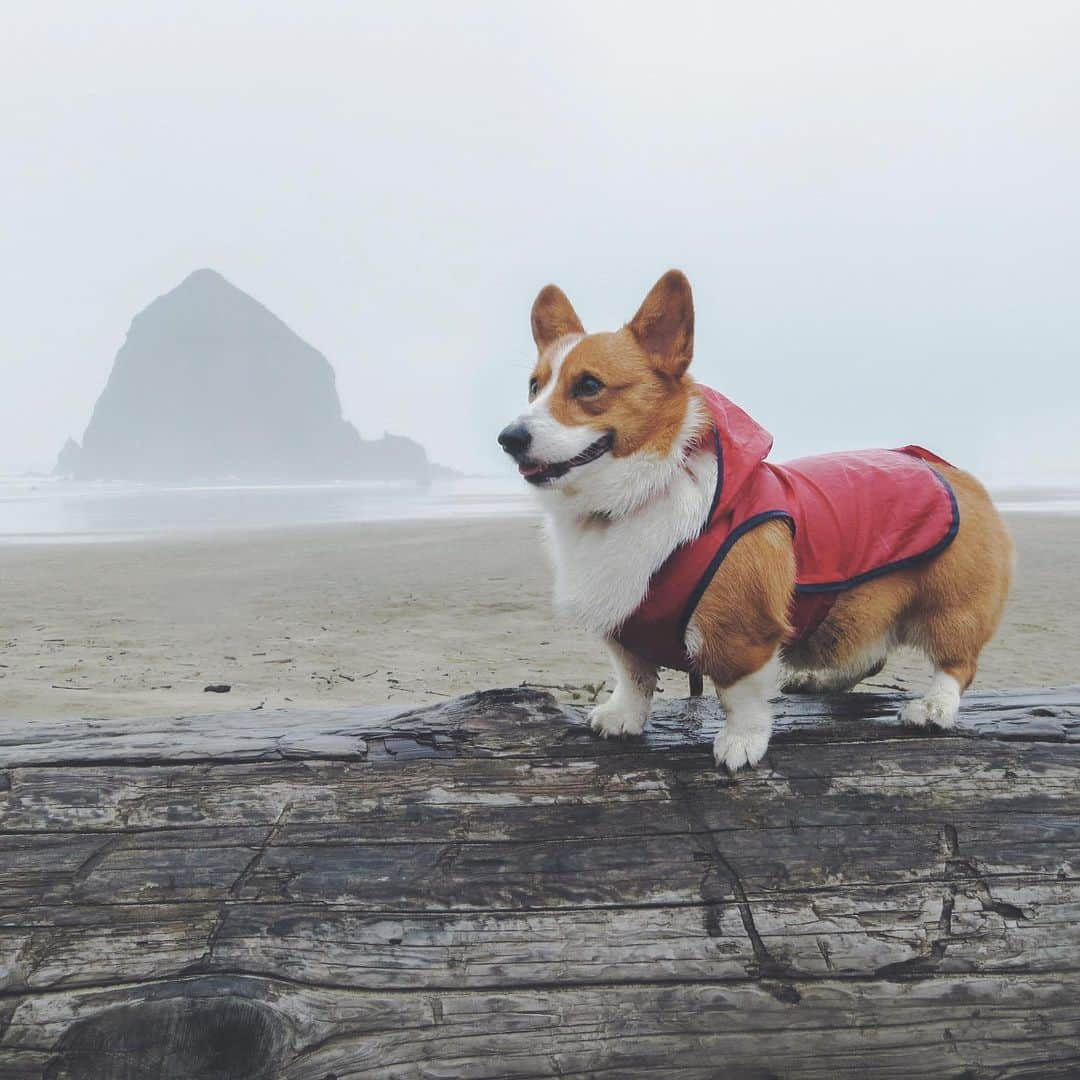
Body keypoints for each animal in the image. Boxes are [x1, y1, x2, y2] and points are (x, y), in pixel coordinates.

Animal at [496, 270, 1010, 768]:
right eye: (534, 386)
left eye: (588, 385)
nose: (509, 438)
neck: (636, 495)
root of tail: (952, 470)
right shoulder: (625, 628)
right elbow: (634, 678)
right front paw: (622, 717)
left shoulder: (742, 634)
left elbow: (737, 697)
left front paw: (740, 744)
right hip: (857, 610)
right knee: (871, 654)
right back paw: (821, 681)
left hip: (950, 606)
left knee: (958, 664)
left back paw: (933, 708)